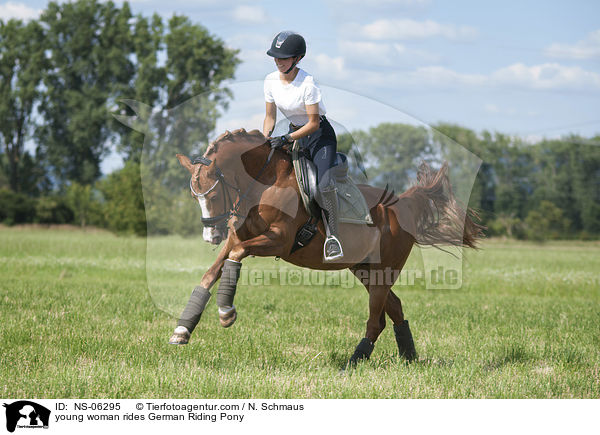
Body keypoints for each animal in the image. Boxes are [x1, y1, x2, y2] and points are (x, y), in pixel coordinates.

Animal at [169, 127, 482, 366]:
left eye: (212, 194)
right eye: (194, 195)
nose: (211, 235)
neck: (265, 182)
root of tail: (403, 205)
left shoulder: (278, 241)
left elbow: (236, 256)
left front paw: (226, 313)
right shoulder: (239, 236)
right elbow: (211, 272)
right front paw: (182, 329)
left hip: (382, 272)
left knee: (376, 320)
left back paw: (353, 362)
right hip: (365, 270)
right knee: (394, 308)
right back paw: (409, 358)